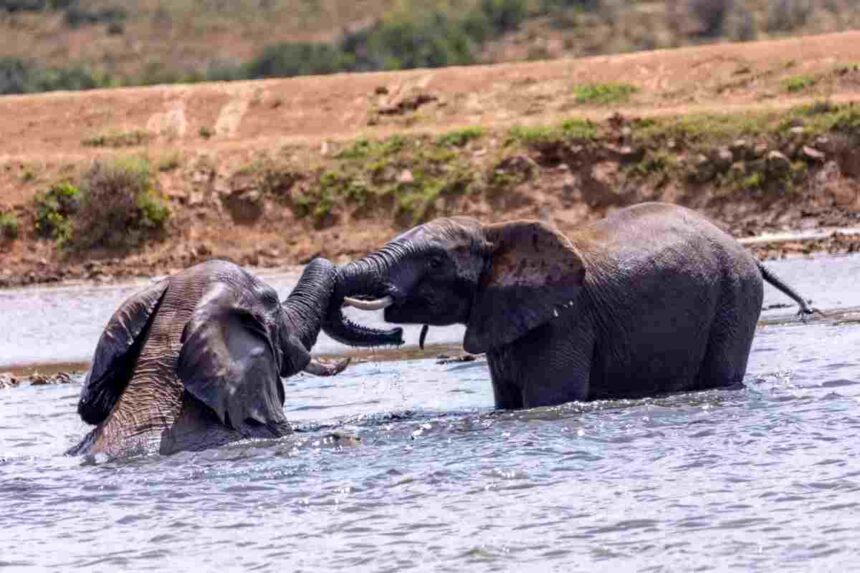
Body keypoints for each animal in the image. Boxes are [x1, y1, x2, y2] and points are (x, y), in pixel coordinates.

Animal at [323, 202, 814, 409]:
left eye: (436, 261)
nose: (395, 332)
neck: (497, 230)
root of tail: (747, 250)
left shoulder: (566, 321)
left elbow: (549, 399)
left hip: (735, 296)